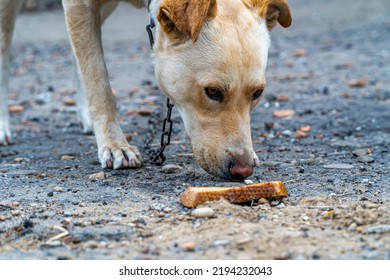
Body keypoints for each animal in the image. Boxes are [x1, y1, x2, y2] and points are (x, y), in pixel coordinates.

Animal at [0, 0, 290, 179]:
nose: (243, 170)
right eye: (213, 92)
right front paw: (114, 144)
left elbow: (87, 65)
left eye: (257, 93)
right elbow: (98, 78)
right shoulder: (79, 5)